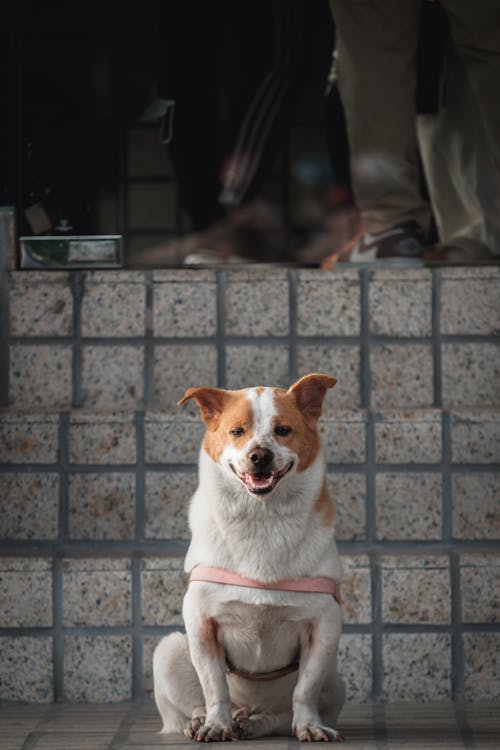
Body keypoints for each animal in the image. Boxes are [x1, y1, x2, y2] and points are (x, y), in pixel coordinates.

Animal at [152, 374, 346, 744]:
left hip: (336, 681)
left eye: (283, 430)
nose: (259, 456)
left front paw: (309, 726)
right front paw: (216, 724)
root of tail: (249, 707)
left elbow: (305, 689)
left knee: (280, 715)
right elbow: (215, 687)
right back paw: (204, 721)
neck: (262, 517)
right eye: (237, 431)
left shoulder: (325, 624)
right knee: (193, 704)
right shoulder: (200, 621)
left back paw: (255, 722)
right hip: (168, 651)